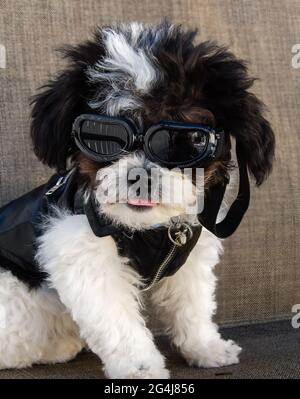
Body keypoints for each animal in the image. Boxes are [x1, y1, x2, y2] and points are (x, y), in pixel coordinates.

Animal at [0, 21, 274, 378]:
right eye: (104, 135)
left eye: (186, 139)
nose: (141, 175)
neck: (145, 231)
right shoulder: (82, 252)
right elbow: (116, 321)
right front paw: (139, 368)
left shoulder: (189, 256)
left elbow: (193, 303)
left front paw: (205, 347)